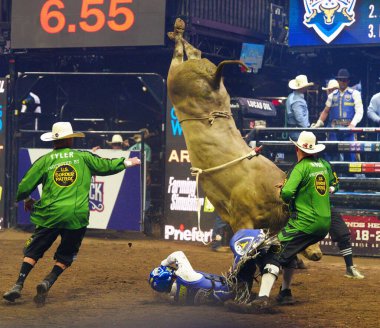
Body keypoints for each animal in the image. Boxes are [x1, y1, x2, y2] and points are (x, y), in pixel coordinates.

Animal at [168, 19, 322, 262]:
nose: (317, 254)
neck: (270, 193)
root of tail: (213, 78)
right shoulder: (241, 220)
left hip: (199, 75)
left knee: (194, 52)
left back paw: (179, 30)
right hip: (174, 79)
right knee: (177, 57)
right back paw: (178, 30)